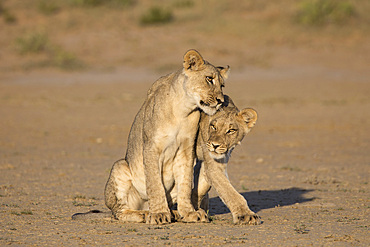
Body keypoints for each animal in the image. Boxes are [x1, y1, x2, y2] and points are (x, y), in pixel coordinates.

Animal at [192, 95, 262, 225]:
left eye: (231, 130)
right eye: (213, 127)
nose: (215, 145)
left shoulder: (215, 160)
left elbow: (202, 186)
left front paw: (195, 207)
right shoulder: (212, 165)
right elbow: (228, 190)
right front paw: (245, 215)